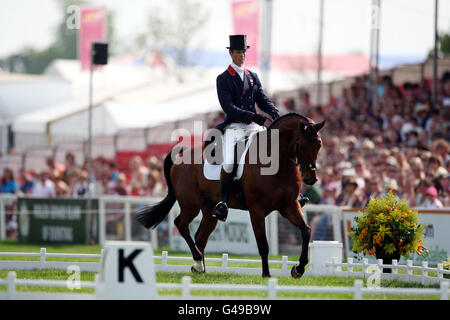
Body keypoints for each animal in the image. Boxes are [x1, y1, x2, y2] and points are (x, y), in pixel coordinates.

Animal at [135, 113, 326, 278]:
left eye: (319, 145)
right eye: (302, 146)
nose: (311, 179)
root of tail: (181, 155)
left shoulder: (289, 206)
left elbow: (306, 231)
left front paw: (299, 269)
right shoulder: (256, 210)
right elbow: (263, 244)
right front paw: (266, 275)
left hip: (209, 209)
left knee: (200, 237)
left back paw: (200, 267)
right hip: (190, 205)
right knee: (181, 225)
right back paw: (198, 262)